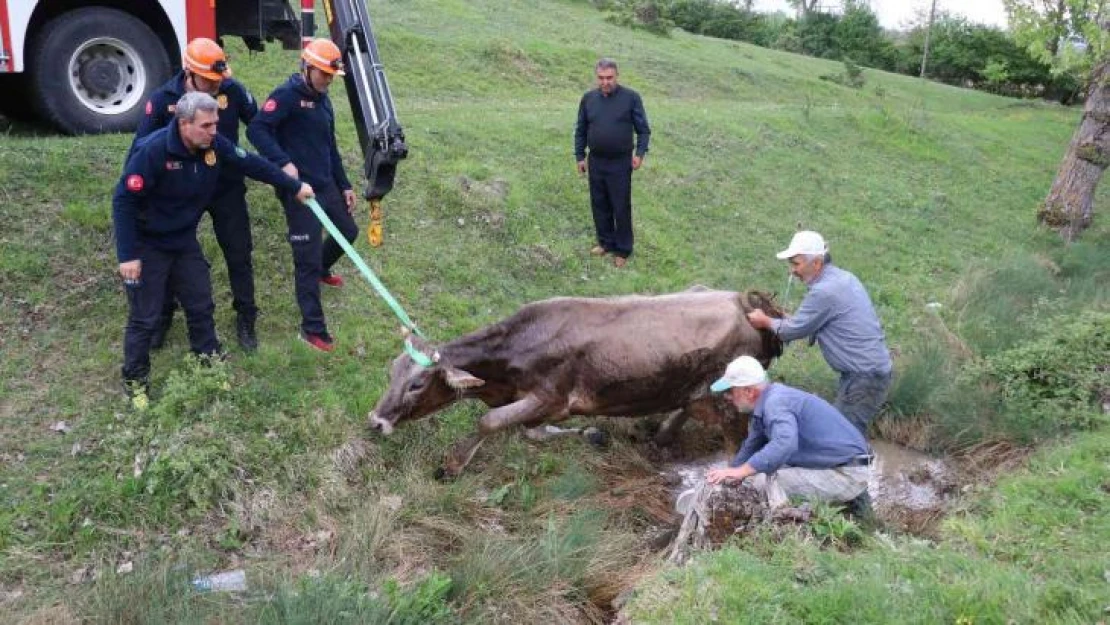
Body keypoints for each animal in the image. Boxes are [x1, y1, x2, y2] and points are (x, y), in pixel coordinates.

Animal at [364, 288, 781, 475]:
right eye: (391, 370)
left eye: (417, 384)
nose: (376, 421)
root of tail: (742, 302)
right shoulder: (543, 408)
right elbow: (533, 433)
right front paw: (590, 434)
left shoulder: (551, 396)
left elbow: (489, 421)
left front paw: (452, 465)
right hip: (690, 388)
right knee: (684, 407)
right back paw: (661, 436)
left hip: (729, 403)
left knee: (735, 442)